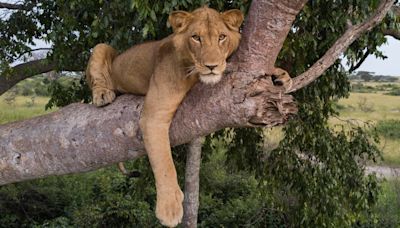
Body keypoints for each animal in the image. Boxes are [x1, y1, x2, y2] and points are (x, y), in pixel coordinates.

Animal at [86, 6, 290, 227]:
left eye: (222, 37)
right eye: (196, 38)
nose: (211, 66)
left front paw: (280, 75)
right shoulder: (154, 115)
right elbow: (164, 162)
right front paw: (169, 208)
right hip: (102, 47)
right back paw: (102, 94)